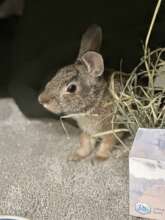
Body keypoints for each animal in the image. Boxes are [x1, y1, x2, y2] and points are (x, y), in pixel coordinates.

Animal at [39, 24, 120, 160]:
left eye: (71, 88)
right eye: (57, 74)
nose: (41, 100)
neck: (95, 102)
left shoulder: (112, 129)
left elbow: (107, 143)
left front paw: (99, 158)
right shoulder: (87, 131)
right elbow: (85, 142)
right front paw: (75, 156)